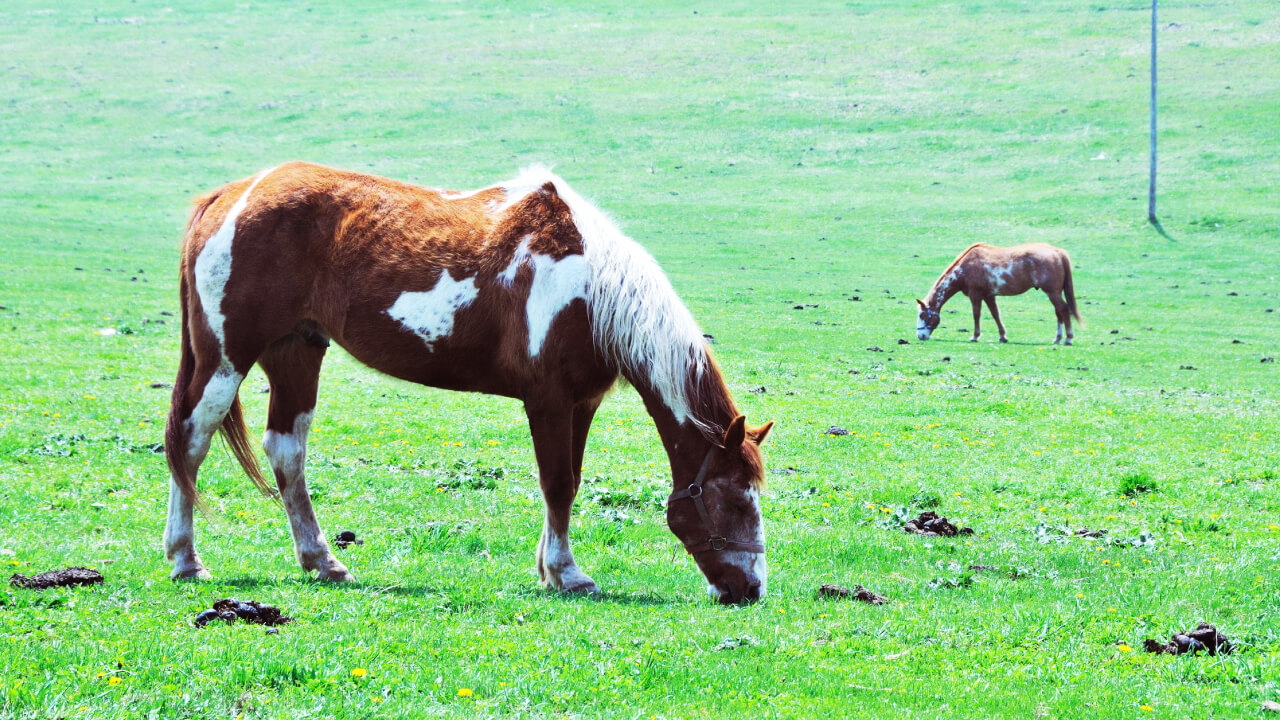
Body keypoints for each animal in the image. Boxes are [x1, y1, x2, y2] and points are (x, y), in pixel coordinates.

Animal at [163, 162, 773, 604]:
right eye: (734, 499)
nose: (750, 590)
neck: (591, 290)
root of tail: (228, 196)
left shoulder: (582, 402)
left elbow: (569, 483)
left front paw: (550, 569)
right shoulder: (548, 401)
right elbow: (558, 484)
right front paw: (568, 574)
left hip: (296, 353)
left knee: (286, 450)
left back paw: (323, 561)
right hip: (226, 358)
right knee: (190, 442)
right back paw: (185, 559)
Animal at [915, 242, 1080, 345]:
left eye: (922, 315)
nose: (920, 336)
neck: (965, 268)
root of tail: (1057, 252)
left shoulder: (976, 296)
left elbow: (976, 315)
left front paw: (975, 336)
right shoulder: (989, 296)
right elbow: (995, 314)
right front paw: (1002, 336)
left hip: (1052, 292)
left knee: (1063, 309)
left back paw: (1068, 338)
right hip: (1054, 293)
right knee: (1059, 312)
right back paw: (1058, 338)